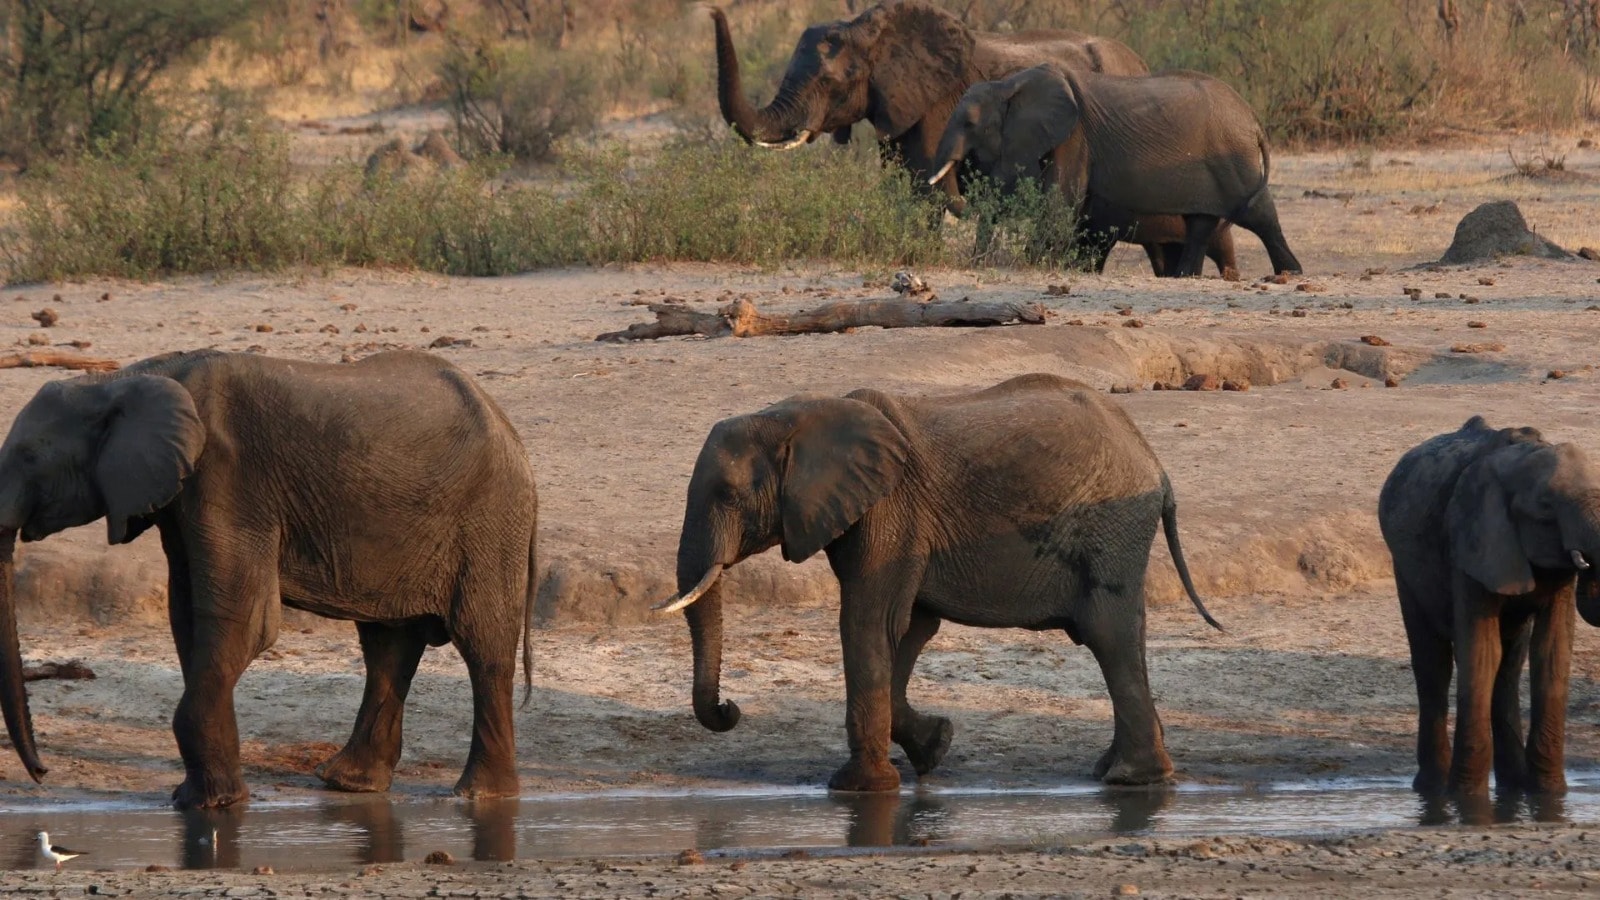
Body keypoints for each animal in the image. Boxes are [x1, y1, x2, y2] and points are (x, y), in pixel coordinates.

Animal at [0, 349, 540, 807]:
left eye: (28, 458)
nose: (42, 774)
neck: (124, 379)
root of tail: (512, 433)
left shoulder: (227, 478)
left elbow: (244, 621)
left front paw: (210, 805)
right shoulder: (183, 494)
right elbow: (187, 615)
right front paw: (197, 798)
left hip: (489, 520)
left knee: (482, 646)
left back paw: (479, 796)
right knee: (389, 646)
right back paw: (349, 783)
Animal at [656, 371, 1216, 791]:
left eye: (728, 494)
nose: (730, 708)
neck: (798, 415)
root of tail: (1155, 463)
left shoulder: (890, 510)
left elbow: (869, 623)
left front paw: (859, 789)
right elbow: (909, 629)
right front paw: (936, 746)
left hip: (1111, 528)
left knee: (1108, 634)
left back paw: (1129, 778)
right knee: (1123, 636)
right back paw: (1119, 772)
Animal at [934, 64, 1305, 275]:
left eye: (969, 123)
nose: (976, 263)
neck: (1009, 84)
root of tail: (1252, 118)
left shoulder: (1075, 137)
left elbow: (1059, 201)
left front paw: (1034, 263)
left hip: (1233, 158)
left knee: (1256, 213)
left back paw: (1292, 273)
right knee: (1201, 222)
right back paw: (1186, 276)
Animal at [1376, 413, 1600, 791]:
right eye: (1545, 507)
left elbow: (1551, 651)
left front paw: (1549, 794)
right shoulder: (1470, 541)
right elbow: (1480, 652)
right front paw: (1466, 797)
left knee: (1508, 667)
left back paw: (1514, 785)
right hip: (1404, 568)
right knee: (1434, 665)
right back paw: (1433, 788)